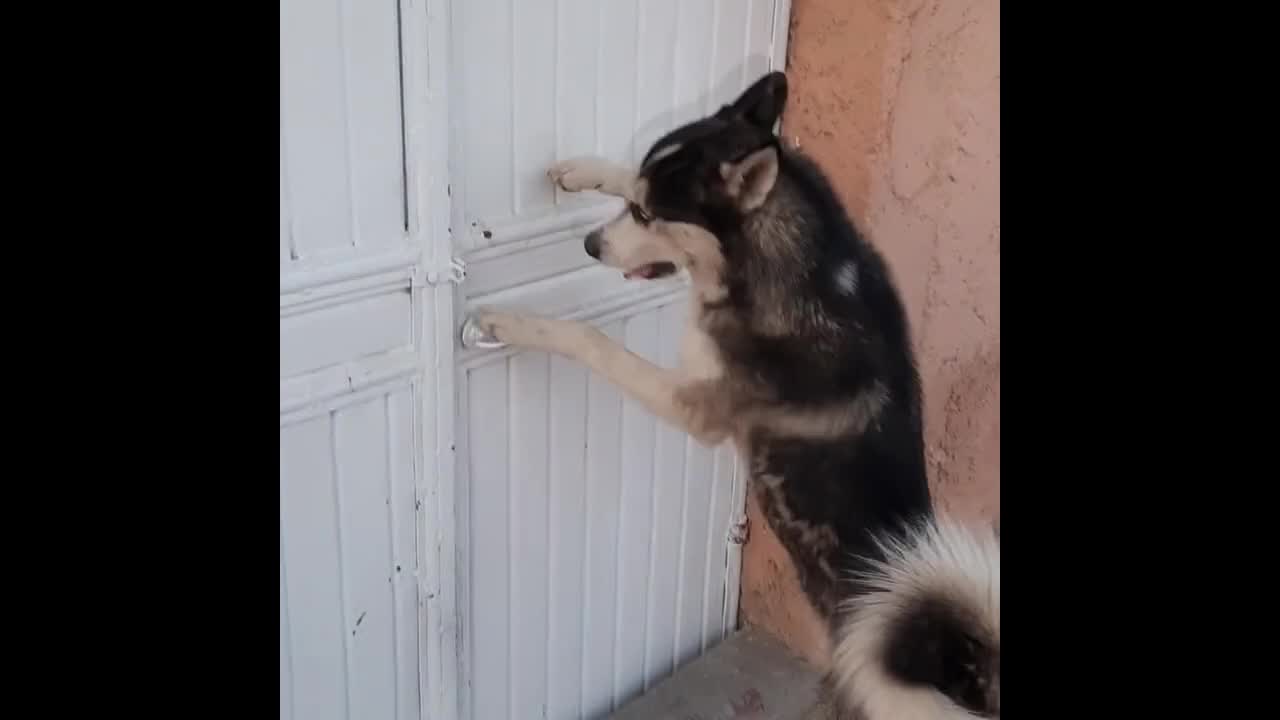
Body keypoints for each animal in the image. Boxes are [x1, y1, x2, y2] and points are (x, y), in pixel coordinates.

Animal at [471, 71, 998, 717]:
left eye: (646, 214)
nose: (592, 245)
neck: (792, 266)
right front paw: (585, 171)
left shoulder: (695, 403)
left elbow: (593, 340)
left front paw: (515, 322)